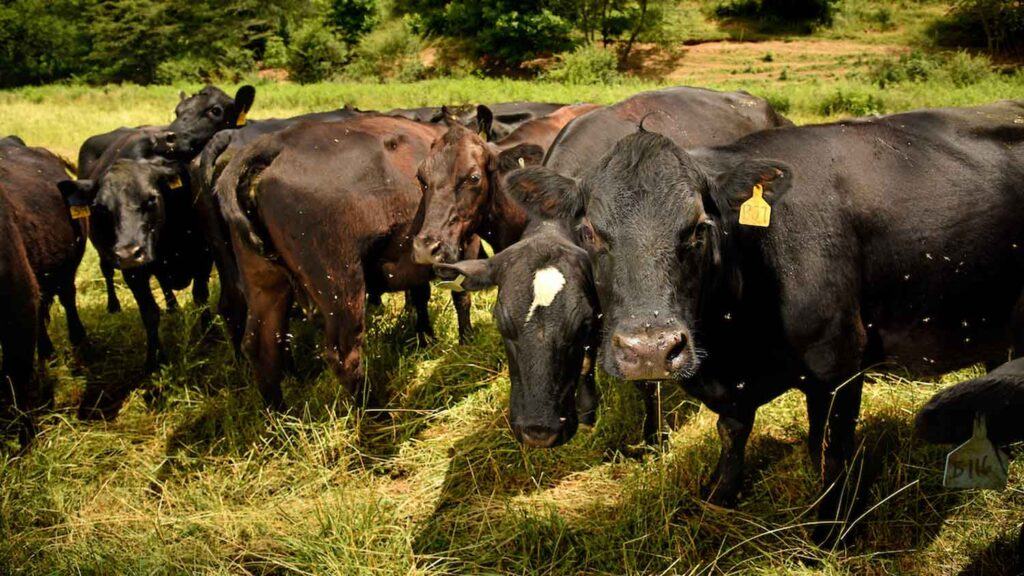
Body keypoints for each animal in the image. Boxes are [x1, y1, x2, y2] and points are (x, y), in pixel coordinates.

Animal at [59, 157, 213, 375]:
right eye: (101, 208)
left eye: (151, 199)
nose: (128, 254)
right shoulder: (134, 274)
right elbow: (150, 313)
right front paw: (155, 360)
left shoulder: (204, 255)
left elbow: (201, 298)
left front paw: (210, 333)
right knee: (107, 272)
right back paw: (114, 305)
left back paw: (172, 306)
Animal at [213, 115, 447, 408]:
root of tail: (277, 143)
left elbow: (420, 295)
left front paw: (426, 337)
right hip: (341, 284)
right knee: (344, 355)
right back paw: (375, 411)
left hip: (264, 283)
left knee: (260, 347)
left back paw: (279, 415)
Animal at [567, 101, 1024, 544]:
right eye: (589, 232)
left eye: (698, 228)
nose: (651, 350)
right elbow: (732, 431)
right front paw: (720, 492)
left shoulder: (840, 366)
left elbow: (830, 448)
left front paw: (829, 531)